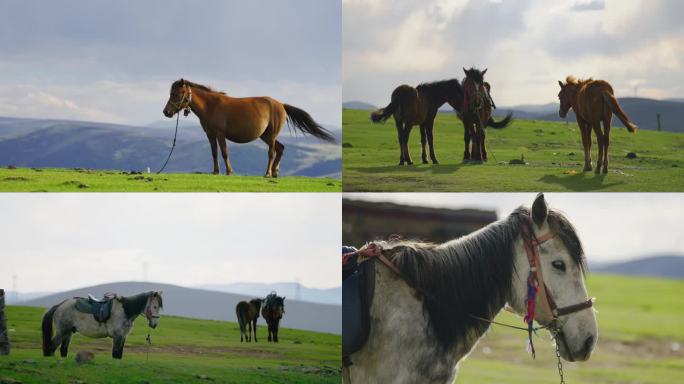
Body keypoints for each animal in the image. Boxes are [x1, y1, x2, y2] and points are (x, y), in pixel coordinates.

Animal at [163, 80, 334, 178]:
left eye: (176, 94)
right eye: (171, 93)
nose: (166, 112)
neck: (211, 106)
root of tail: (281, 104)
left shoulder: (220, 134)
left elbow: (224, 153)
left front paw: (229, 171)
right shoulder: (210, 135)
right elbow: (214, 154)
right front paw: (216, 171)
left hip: (271, 136)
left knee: (272, 152)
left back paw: (268, 173)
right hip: (266, 136)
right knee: (281, 148)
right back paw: (275, 172)